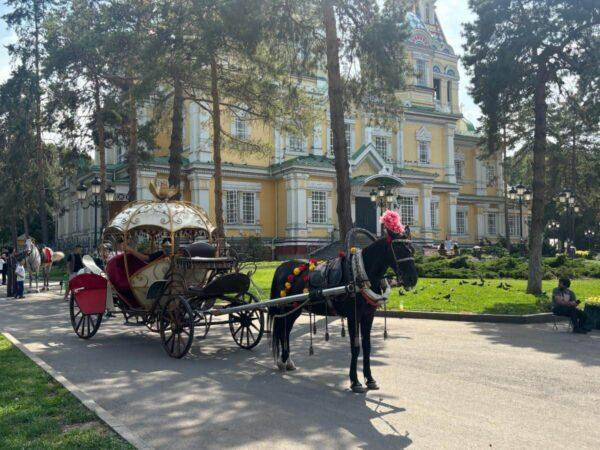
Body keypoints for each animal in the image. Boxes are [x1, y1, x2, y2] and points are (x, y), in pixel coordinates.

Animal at [270, 230, 418, 392]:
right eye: (398, 249)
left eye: (412, 249)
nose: (412, 279)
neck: (360, 276)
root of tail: (282, 267)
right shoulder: (353, 317)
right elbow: (355, 347)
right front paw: (355, 382)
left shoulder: (368, 316)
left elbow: (367, 346)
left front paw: (370, 379)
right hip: (288, 308)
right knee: (282, 331)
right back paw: (283, 361)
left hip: (294, 309)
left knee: (284, 332)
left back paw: (287, 361)